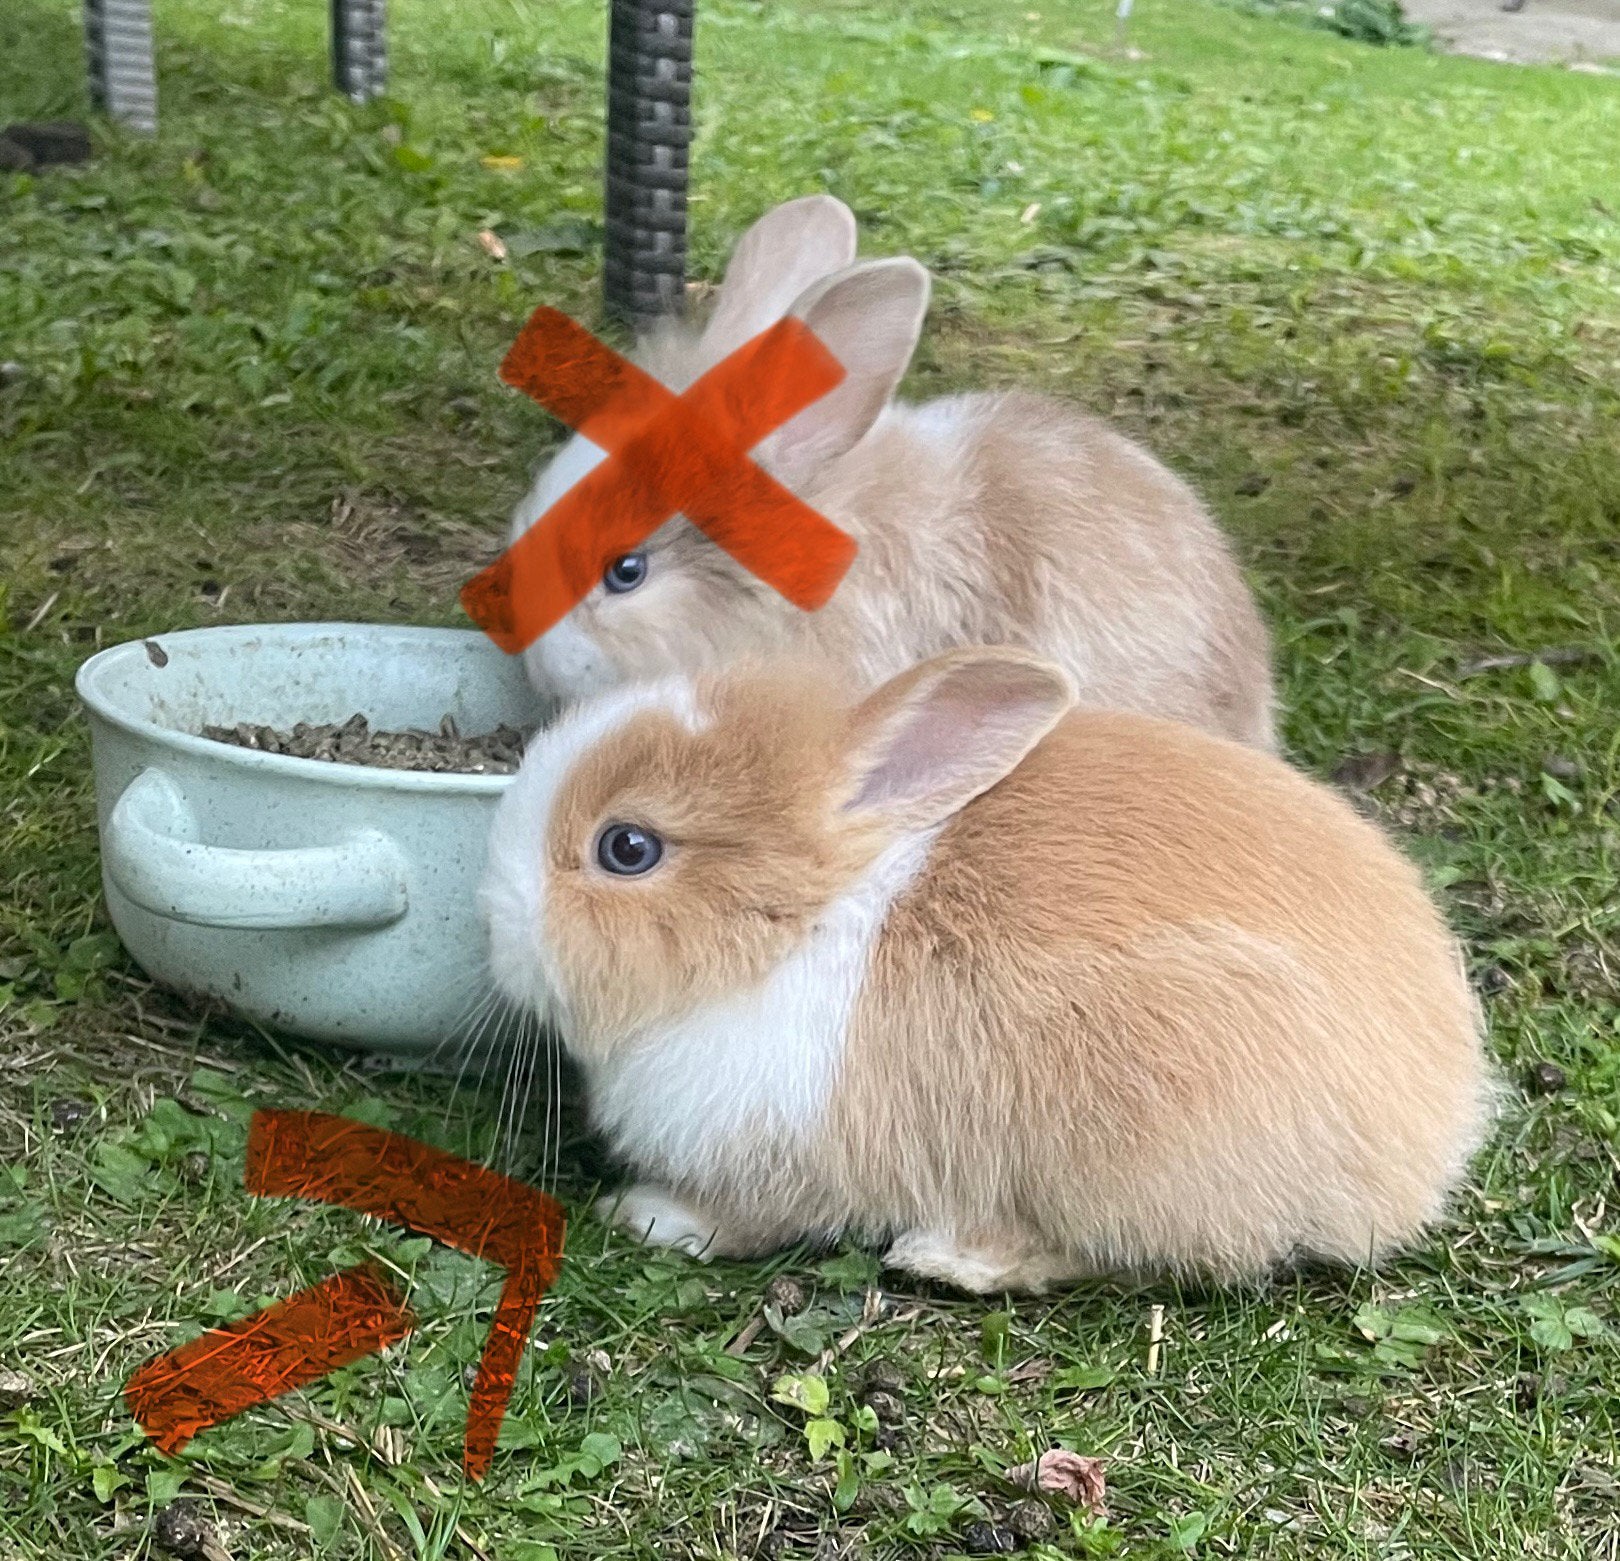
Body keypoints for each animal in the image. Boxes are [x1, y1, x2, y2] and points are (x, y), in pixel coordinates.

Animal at [478, 645, 1493, 1294]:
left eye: (628, 848)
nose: (493, 920)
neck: (807, 920)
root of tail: (1430, 1140)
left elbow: (749, 1220)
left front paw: (648, 1215)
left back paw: (952, 1257)